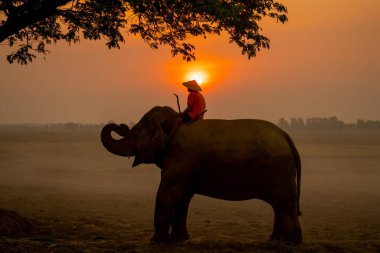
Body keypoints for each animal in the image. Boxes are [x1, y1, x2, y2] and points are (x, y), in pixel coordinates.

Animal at [101, 105, 302, 244]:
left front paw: (156, 242)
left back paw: (290, 243)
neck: (175, 122)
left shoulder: (180, 158)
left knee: (284, 203)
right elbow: (182, 198)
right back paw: (276, 240)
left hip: (279, 170)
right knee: (280, 206)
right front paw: (179, 240)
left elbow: (168, 193)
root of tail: (286, 137)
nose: (121, 125)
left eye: (134, 132)